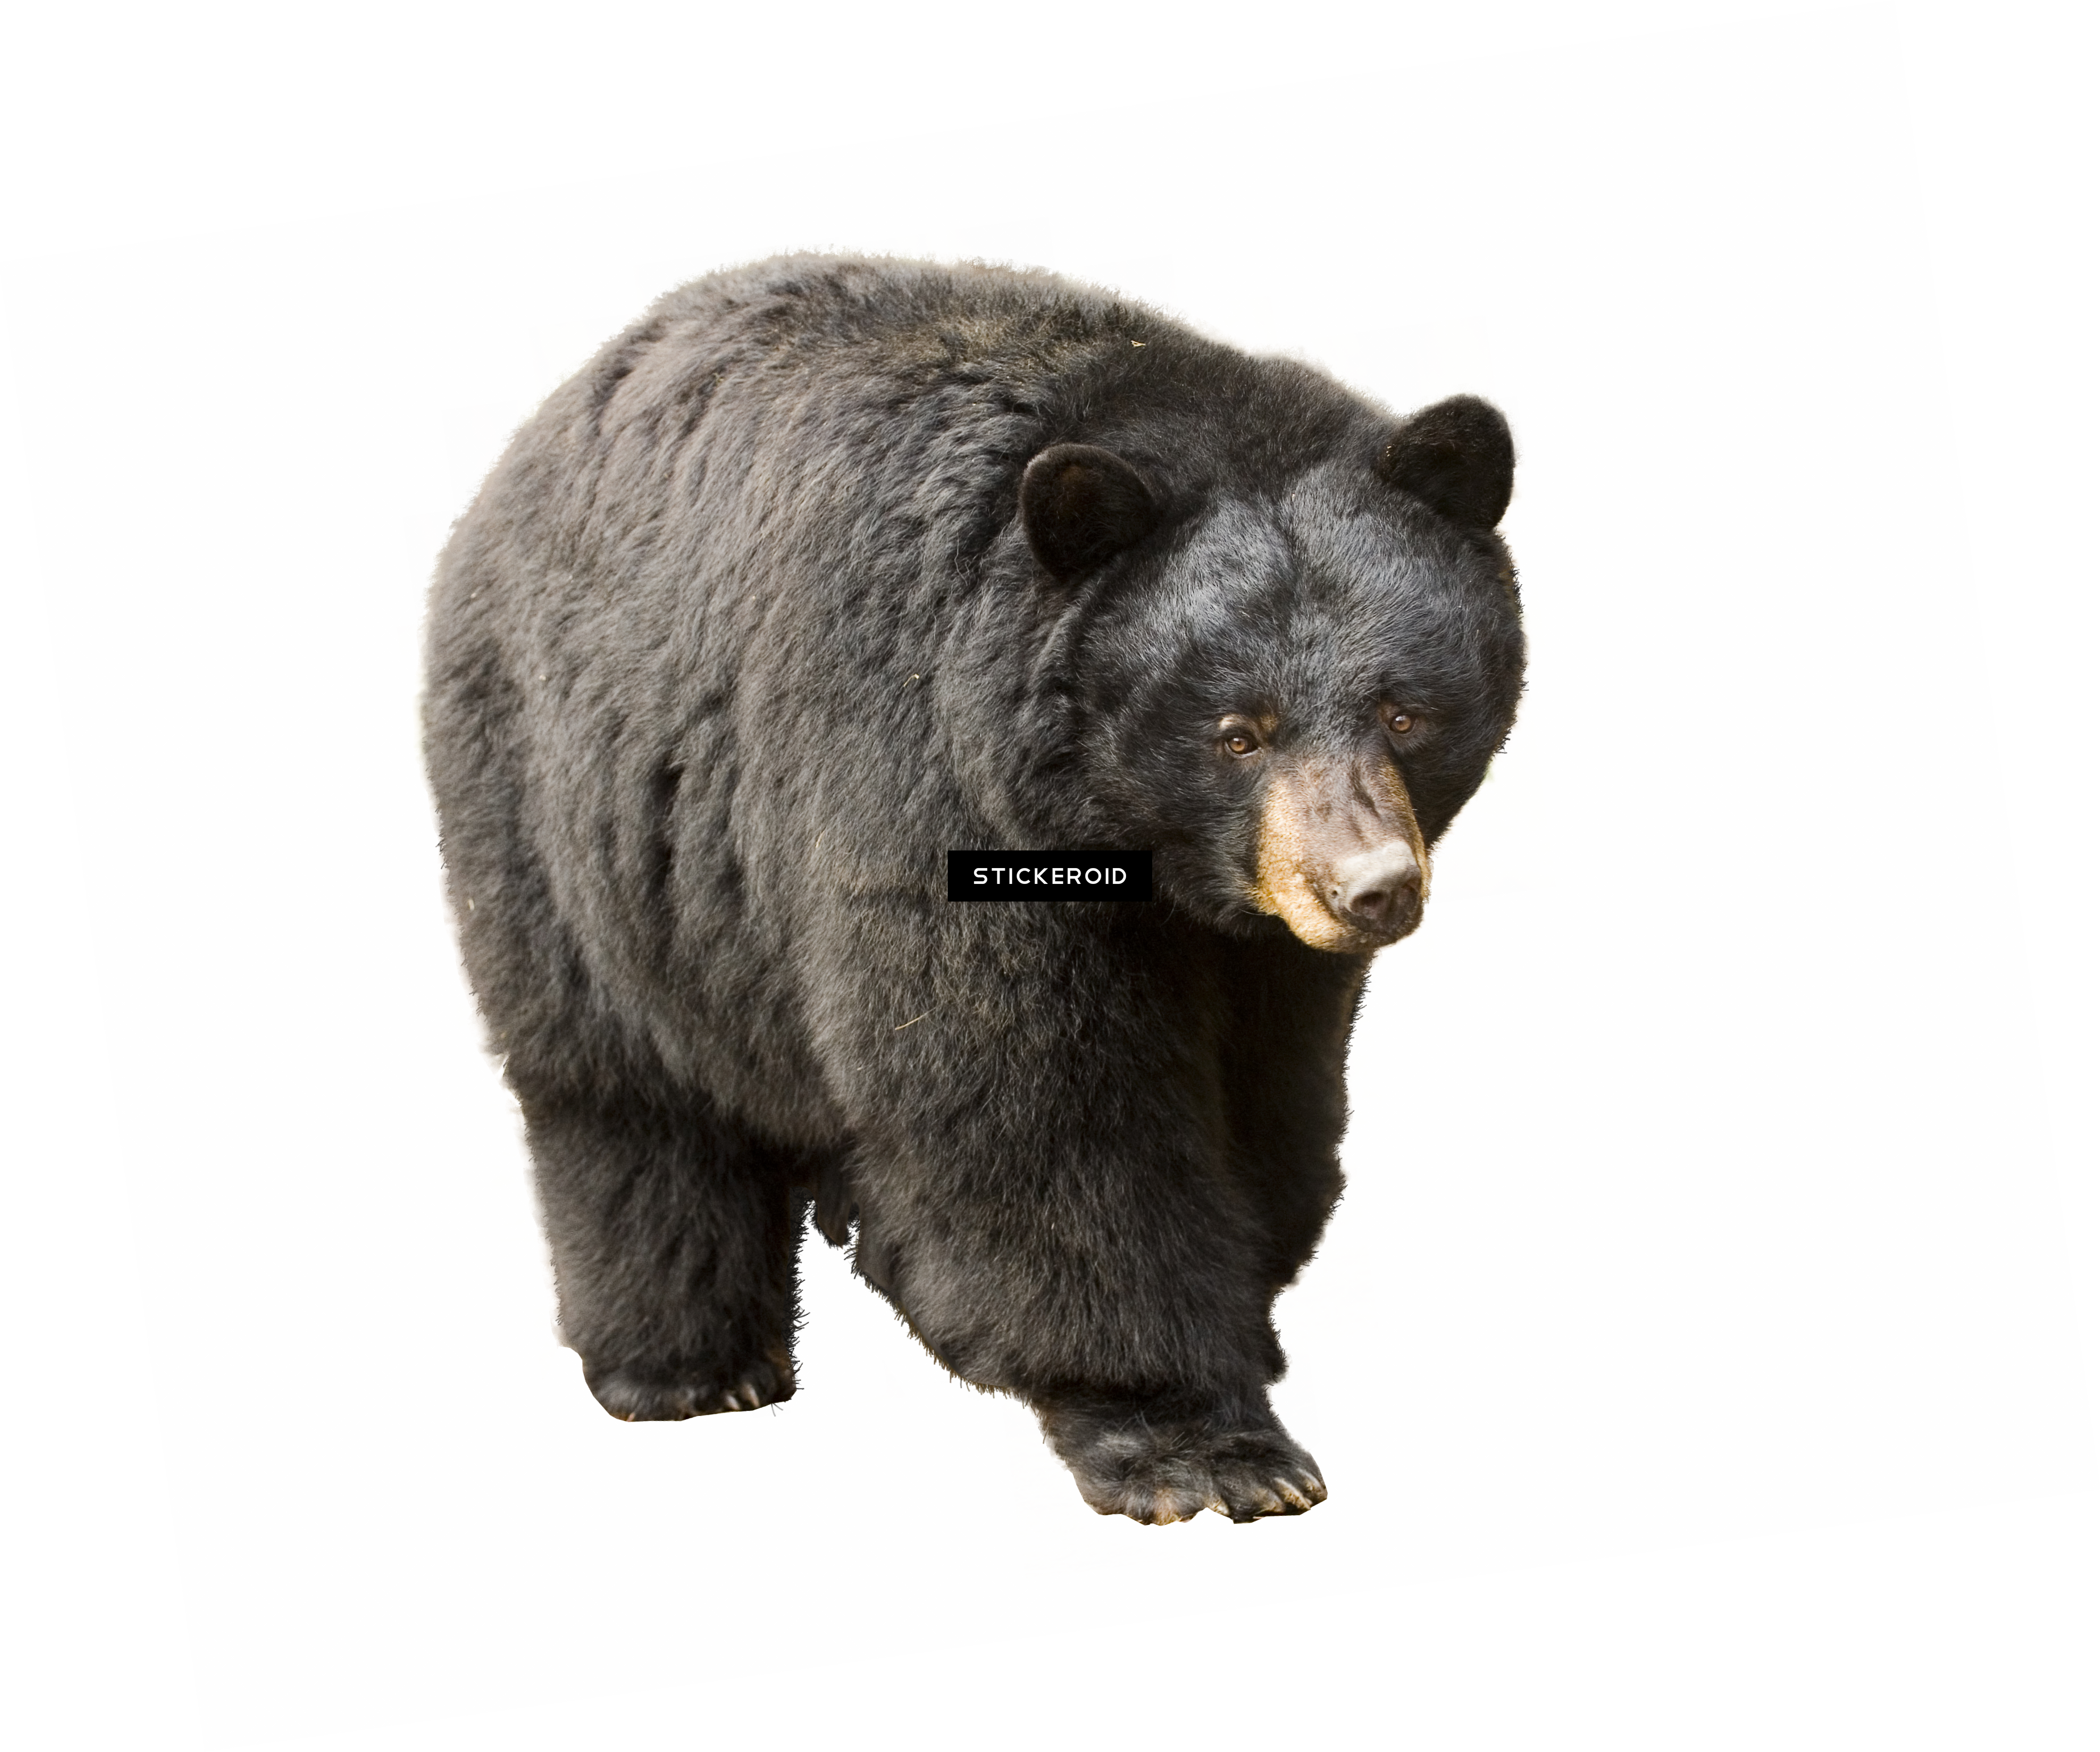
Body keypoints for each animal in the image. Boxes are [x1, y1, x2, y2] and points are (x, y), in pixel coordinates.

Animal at [419, 252, 1528, 1526]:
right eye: (1236, 733)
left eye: (1405, 713)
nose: (1369, 890)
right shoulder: (921, 771)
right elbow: (1036, 1100)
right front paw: (1194, 1444)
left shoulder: (1252, 942)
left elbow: (1268, 1091)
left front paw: (1240, 1316)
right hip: (560, 817)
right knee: (622, 1099)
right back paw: (689, 1367)